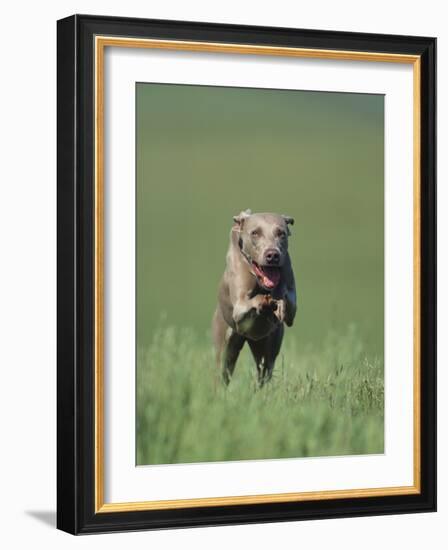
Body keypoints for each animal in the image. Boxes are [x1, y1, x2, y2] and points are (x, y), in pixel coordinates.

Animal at [214, 209, 298, 386]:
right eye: (255, 233)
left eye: (281, 233)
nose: (272, 255)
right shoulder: (239, 310)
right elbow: (251, 302)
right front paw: (266, 301)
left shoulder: (292, 308)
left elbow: (287, 302)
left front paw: (278, 303)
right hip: (224, 346)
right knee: (222, 372)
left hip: (267, 347)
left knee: (264, 372)